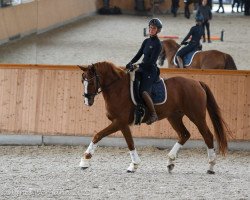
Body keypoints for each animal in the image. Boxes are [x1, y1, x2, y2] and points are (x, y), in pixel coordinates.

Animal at [79, 60, 229, 173]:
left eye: (90, 82)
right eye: (82, 82)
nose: (87, 101)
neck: (117, 89)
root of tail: (197, 82)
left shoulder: (120, 122)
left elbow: (102, 136)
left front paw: (85, 160)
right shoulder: (121, 123)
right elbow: (124, 141)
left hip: (196, 116)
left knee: (207, 135)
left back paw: (211, 165)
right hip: (174, 117)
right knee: (184, 134)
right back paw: (170, 162)